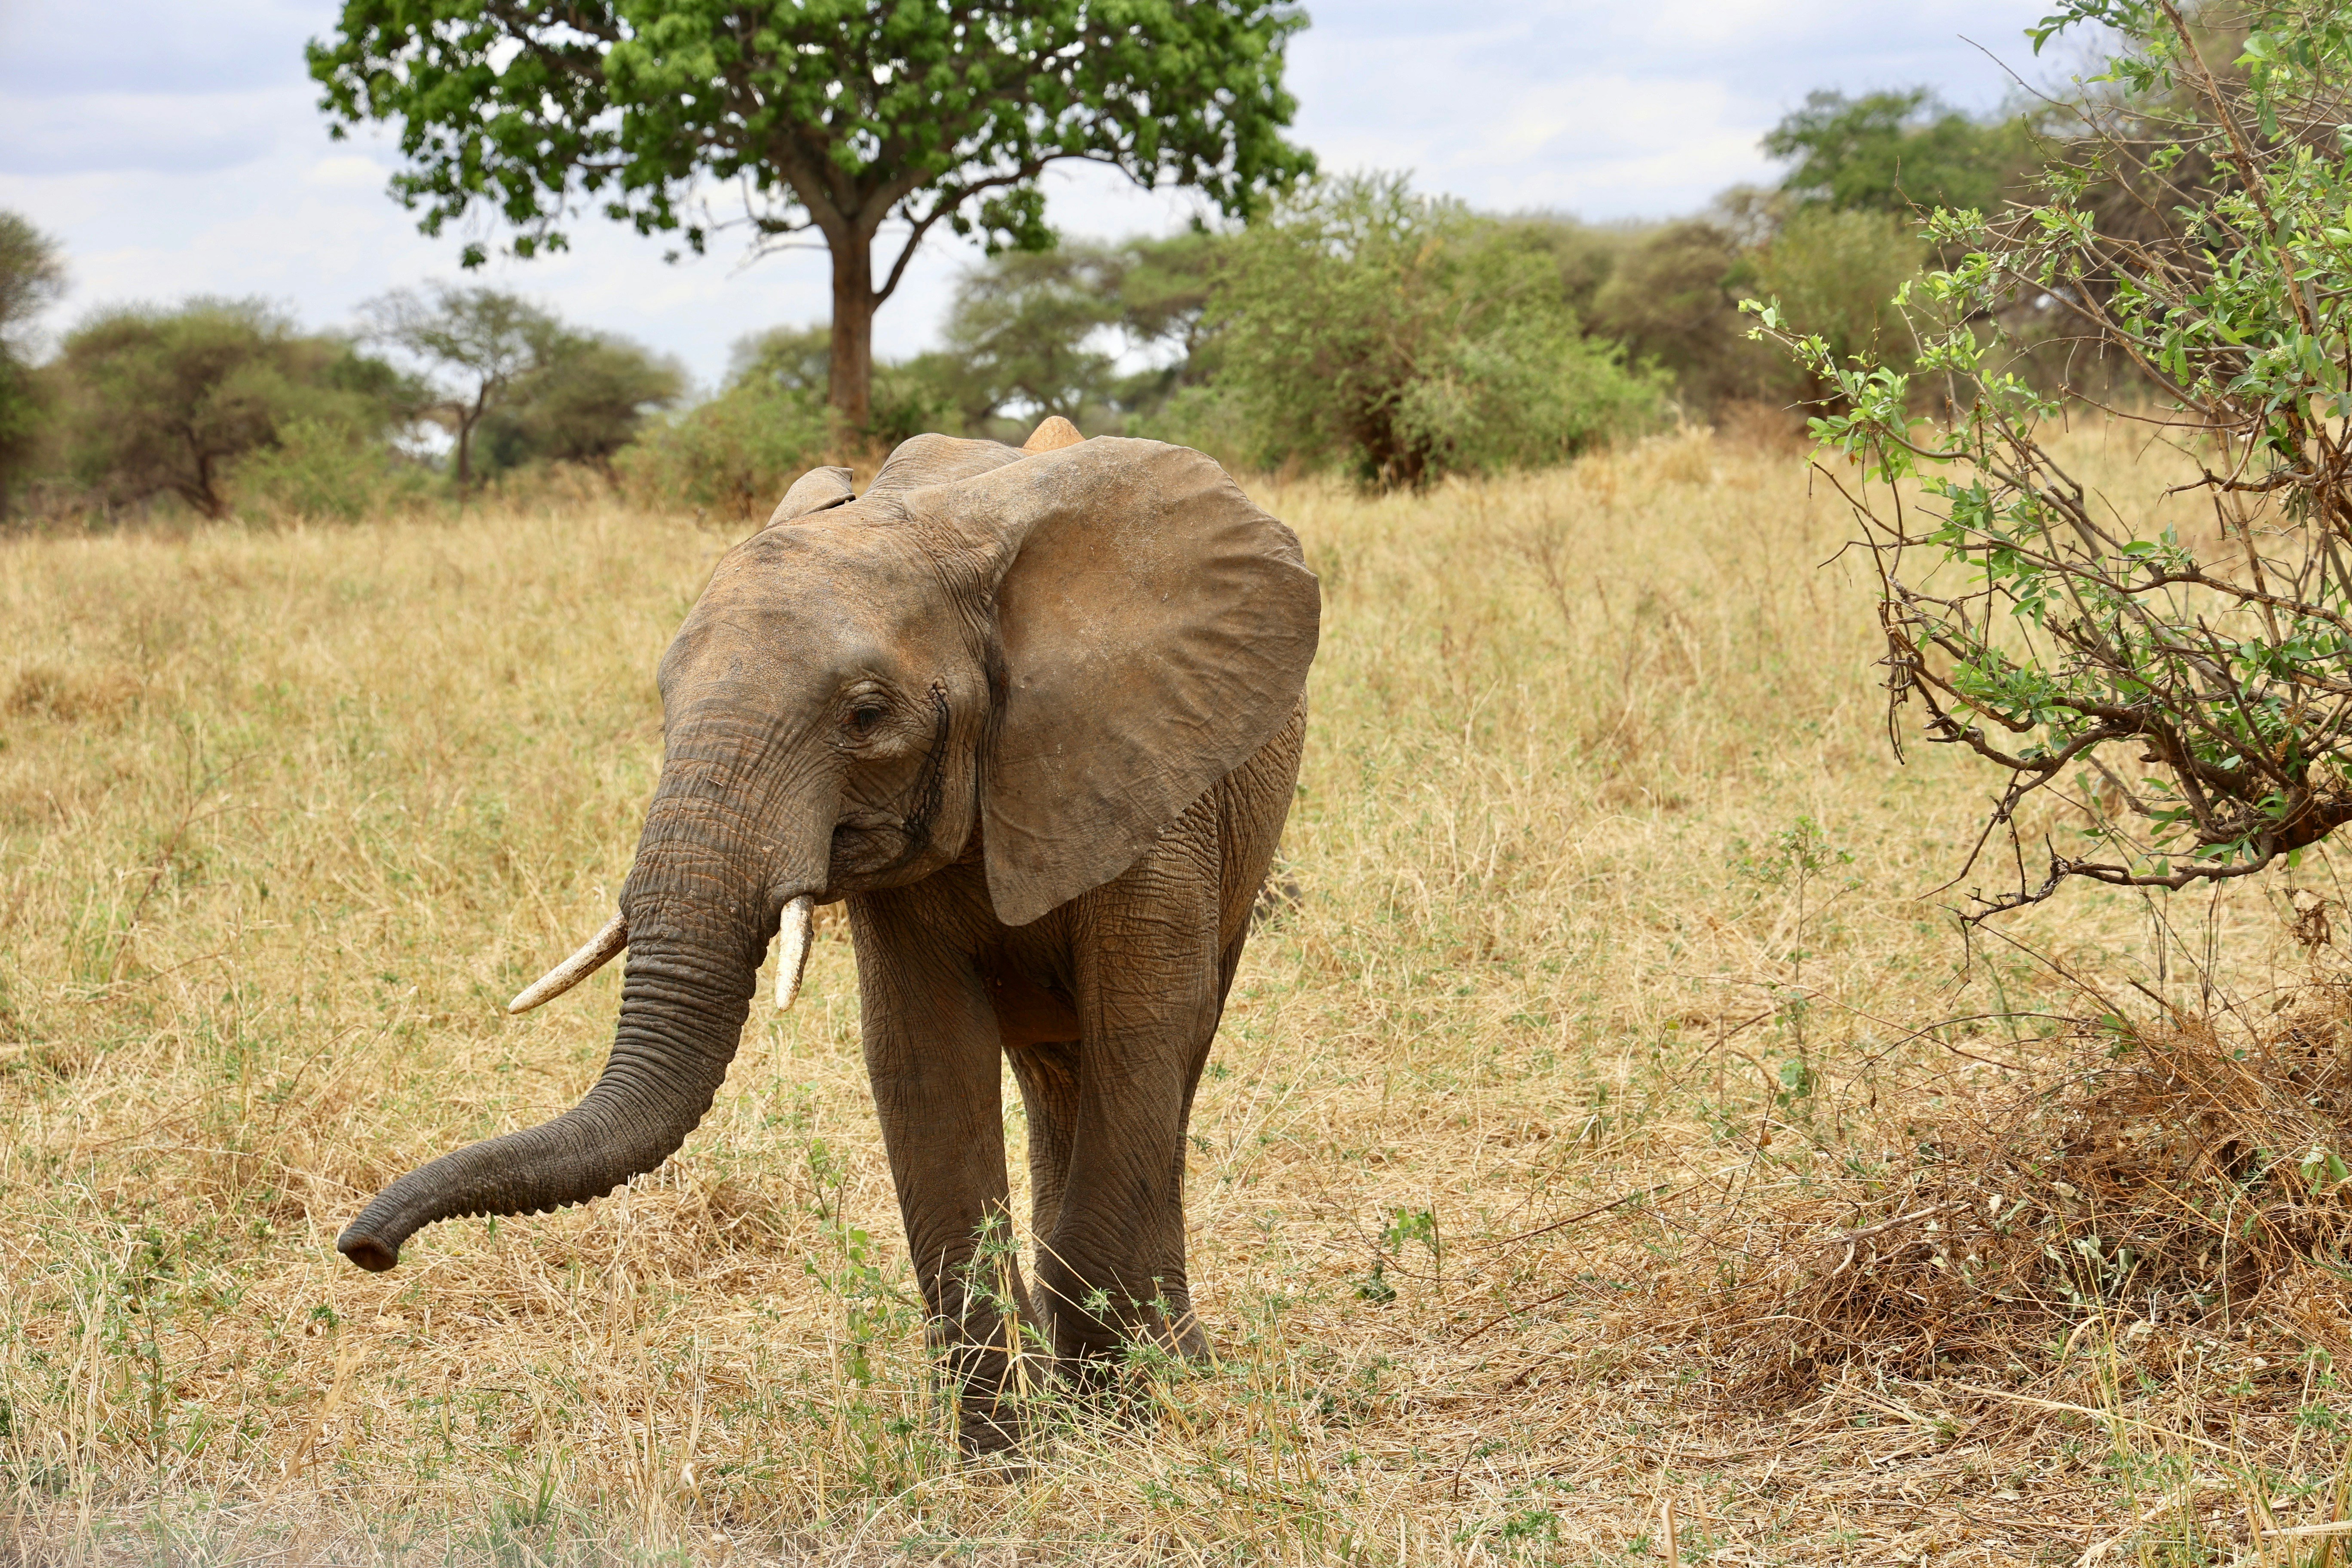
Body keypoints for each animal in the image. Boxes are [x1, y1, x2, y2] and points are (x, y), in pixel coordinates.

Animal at [334, 420, 1326, 1457]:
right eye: (664, 701)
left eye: (865, 715)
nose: (365, 1249)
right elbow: (921, 1064)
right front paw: (1003, 1460)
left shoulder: (1148, 779)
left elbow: (1140, 1035)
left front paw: (1116, 1436)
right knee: (1057, 1074)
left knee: (1161, 1063)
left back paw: (1168, 1371)